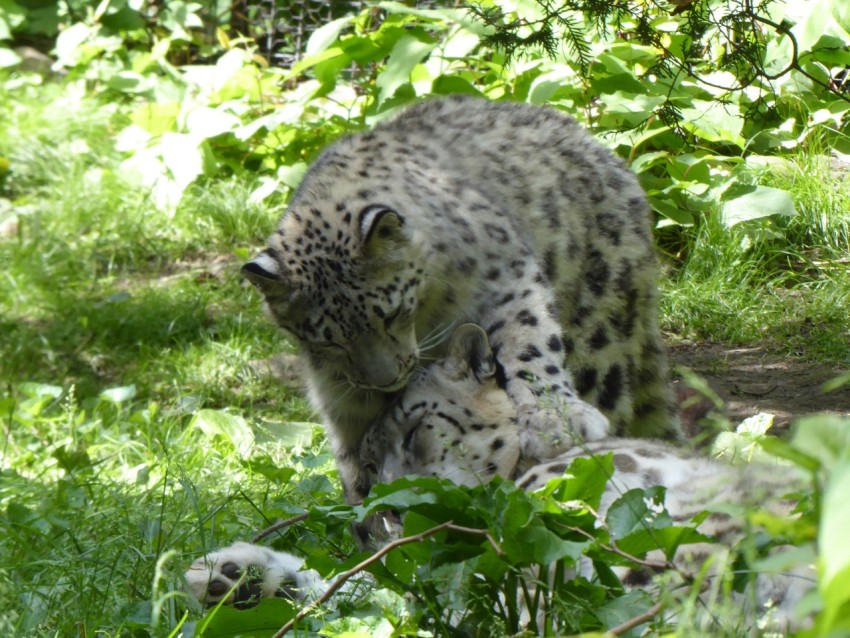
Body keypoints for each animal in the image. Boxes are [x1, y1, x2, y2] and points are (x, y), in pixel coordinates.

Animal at [242, 95, 680, 504]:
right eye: (328, 340)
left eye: (393, 313)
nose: (386, 380)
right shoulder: (338, 386)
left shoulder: (505, 278)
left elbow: (528, 342)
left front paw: (553, 420)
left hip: (600, 340)